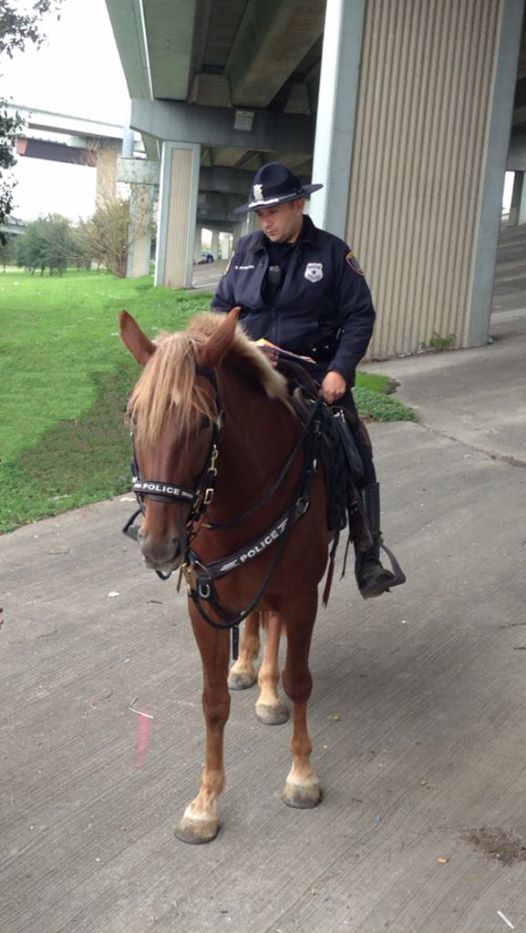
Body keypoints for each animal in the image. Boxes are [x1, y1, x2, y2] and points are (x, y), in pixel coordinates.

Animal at [121, 308, 332, 844]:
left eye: (201, 422)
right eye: (133, 416)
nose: (158, 546)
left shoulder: (301, 595)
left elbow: (300, 680)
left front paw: (302, 774)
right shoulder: (203, 603)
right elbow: (213, 701)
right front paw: (205, 802)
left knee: (273, 627)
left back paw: (268, 690)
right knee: (256, 620)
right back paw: (247, 668)